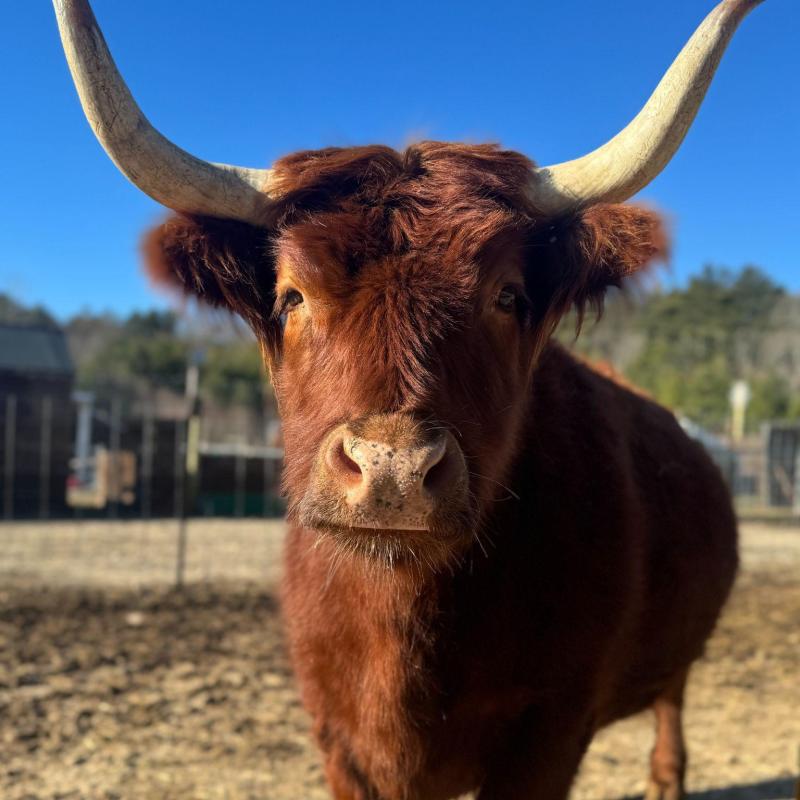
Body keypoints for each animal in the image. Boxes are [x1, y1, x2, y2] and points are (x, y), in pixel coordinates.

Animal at [53, 1, 764, 798]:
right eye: (291, 295)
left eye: (508, 295)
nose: (391, 471)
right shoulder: (337, 737)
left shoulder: (551, 734)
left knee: (673, 693)